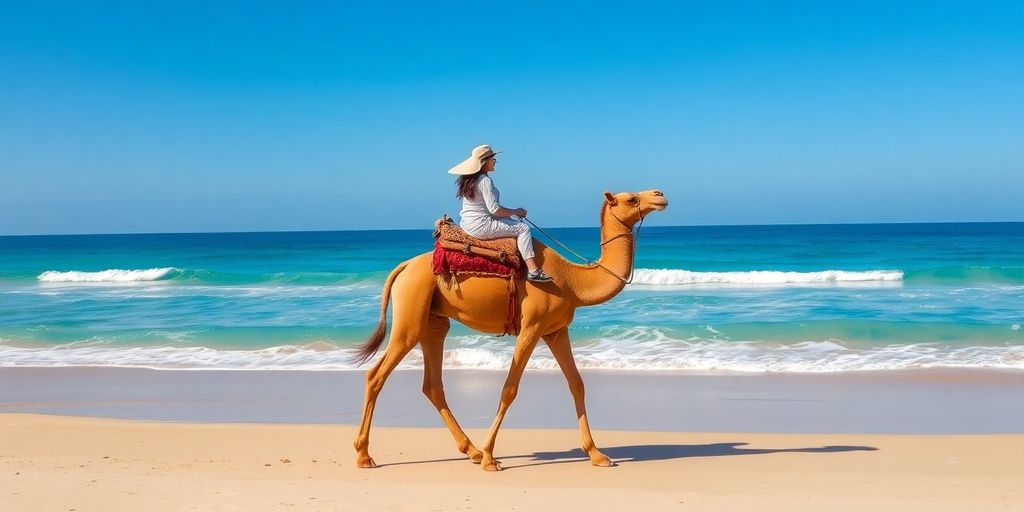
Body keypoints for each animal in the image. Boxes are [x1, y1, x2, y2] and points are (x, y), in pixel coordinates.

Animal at [353, 189, 668, 471]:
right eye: (631, 198)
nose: (659, 195)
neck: (572, 282)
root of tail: (403, 267)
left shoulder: (556, 331)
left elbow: (576, 384)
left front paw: (597, 455)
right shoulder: (532, 326)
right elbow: (510, 388)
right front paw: (490, 457)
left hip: (433, 323)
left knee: (432, 384)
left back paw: (471, 451)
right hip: (411, 313)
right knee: (376, 375)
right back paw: (364, 455)